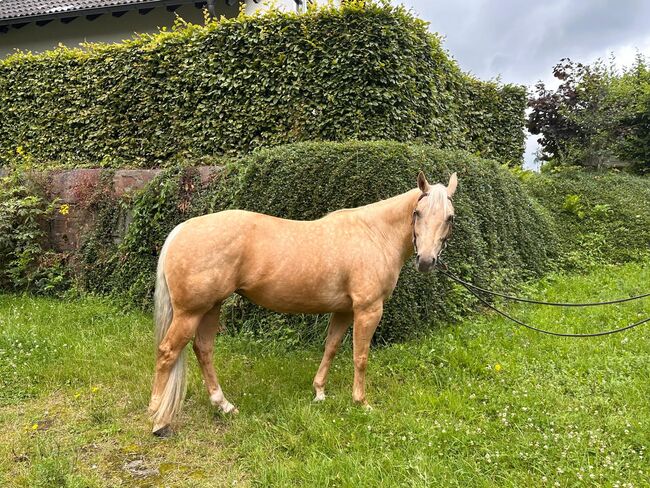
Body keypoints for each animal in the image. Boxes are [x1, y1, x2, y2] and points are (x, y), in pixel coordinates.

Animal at [148, 172, 456, 434]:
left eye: (450, 218)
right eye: (417, 213)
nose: (426, 261)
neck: (374, 234)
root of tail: (182, 229)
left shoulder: (343, 311)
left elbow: (331, 347)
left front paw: (319, 392)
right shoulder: (368, 310)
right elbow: (360, 356)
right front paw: (361, 402)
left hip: (211, 308)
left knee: (203, 350)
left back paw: (224, 405)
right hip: (190, 313)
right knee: (167, 352)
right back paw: (158, 419)